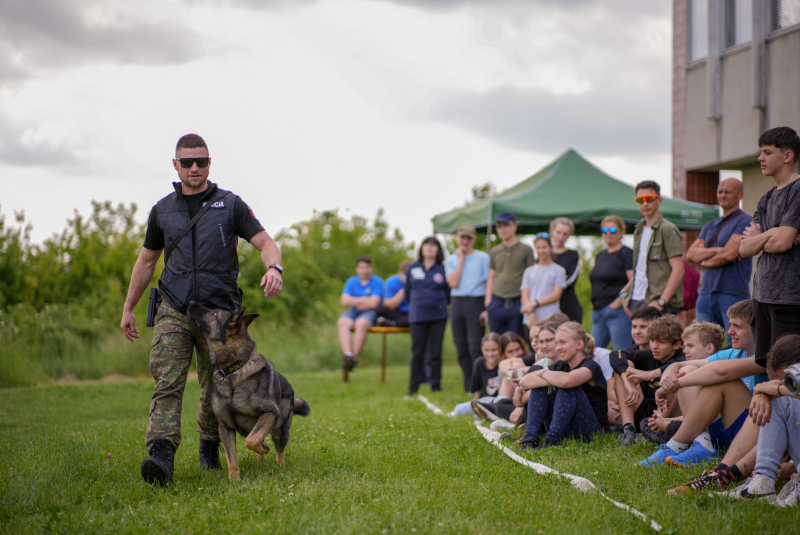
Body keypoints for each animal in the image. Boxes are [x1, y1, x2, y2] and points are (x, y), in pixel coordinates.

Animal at [188, 302, 310, 482]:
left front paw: (263, 448)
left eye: (215, 312)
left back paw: (279, 465)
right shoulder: (225, 427)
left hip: (280, 430)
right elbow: (231, 457)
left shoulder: (269, 413)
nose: (191, 303)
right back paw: (261, 460)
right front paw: (234, 480)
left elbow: (251, 441)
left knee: (279, 450)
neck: (232, 370)